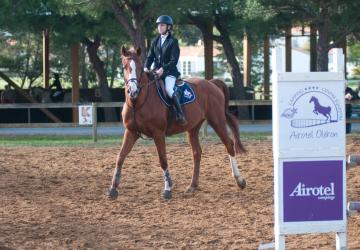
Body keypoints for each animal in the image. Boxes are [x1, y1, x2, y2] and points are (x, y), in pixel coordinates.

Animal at [106, 46, 248, 199]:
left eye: (139, 67)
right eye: (124, 67)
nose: (132, 91)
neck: (137, 102)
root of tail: (211, 83)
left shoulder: (158, 133)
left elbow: (163, 160)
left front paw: (167, 189)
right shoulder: (131, 132)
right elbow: (120, 157)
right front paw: (113, 188)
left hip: (217, 121)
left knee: (229, 144)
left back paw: (240, 180)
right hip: (193, 128)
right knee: (197, 153)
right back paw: (192, 186)